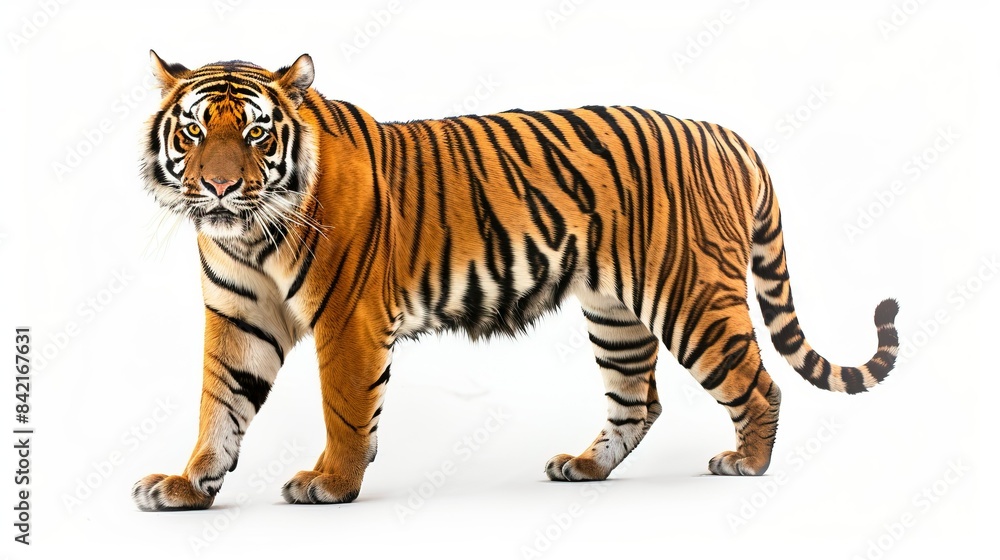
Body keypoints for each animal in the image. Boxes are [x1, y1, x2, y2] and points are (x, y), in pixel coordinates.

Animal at [132, 51, 899, 511]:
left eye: (257, 135)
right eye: (195, 132)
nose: (220, 187)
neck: (248, 234)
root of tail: (728, 135)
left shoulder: (347, 318)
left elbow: (345, 409)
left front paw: (332, 482)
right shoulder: (240, 317)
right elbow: (219, 406)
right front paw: (187, 485)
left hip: (691, 297)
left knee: (758, 382)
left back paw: (747, 463)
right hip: (615, 313)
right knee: (638, 403)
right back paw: (584, 469)